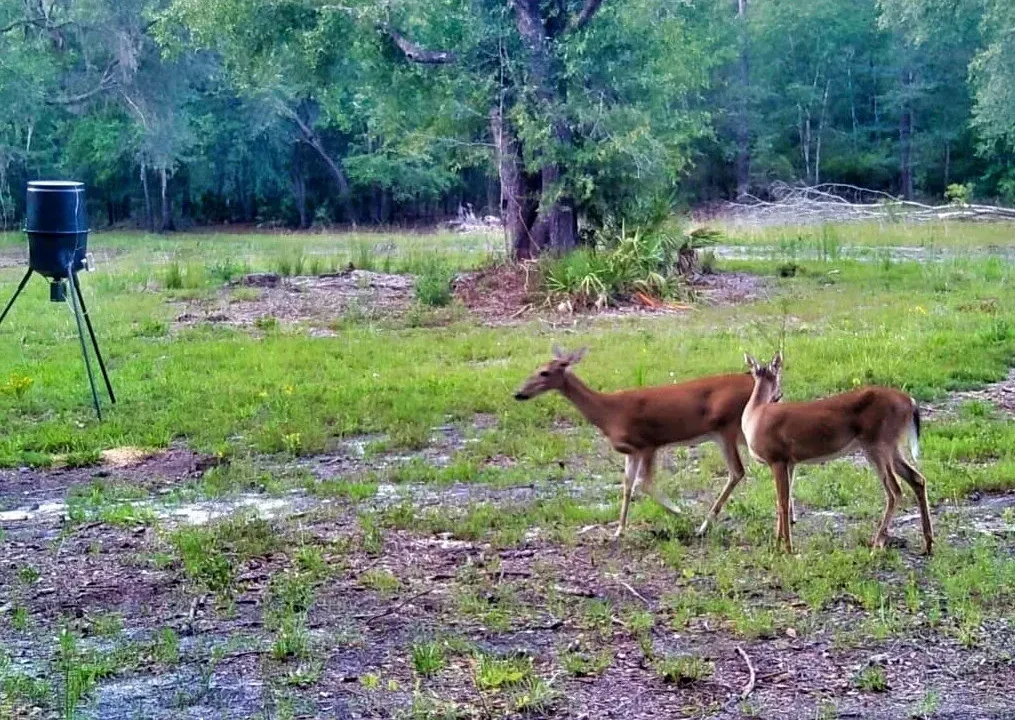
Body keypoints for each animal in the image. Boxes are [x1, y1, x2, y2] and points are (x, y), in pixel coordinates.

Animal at [511, 345, 763, 536]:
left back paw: (703, 526)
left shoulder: (647, 443)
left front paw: (677, 511)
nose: (518, 393)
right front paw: (618, 530)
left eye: (544, 372)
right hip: (738, 433)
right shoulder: (631, 451)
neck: (608, 413)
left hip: (725, 429)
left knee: (737, 471)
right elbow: (627, 485)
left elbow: (643, 483)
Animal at [738, 351, 933, 552]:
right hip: (890, 446)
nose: (779, 395)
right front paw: (777, 543)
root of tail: (910, 402)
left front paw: (788, 548)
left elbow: (783, 503)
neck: (755, 413)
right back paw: (927, 544)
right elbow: (782, 501)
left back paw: (877, 542)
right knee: (917, 479)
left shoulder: (777, 458)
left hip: (878, 444)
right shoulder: (790, 462)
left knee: (895, 489)